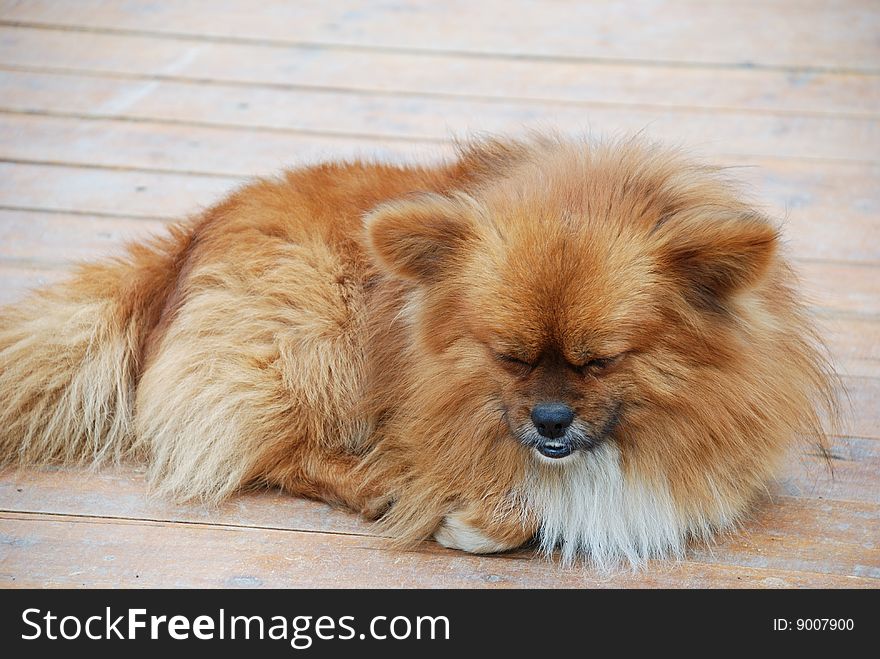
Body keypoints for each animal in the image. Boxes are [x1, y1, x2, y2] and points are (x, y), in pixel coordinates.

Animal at [0, 135, 836, 568]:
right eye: (509, 356)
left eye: (600, 360)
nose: (551, 420)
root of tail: (184, 244)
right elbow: (507, 504)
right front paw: (464, 515)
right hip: (312, 335)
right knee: (271, 448)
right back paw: (375, 483)